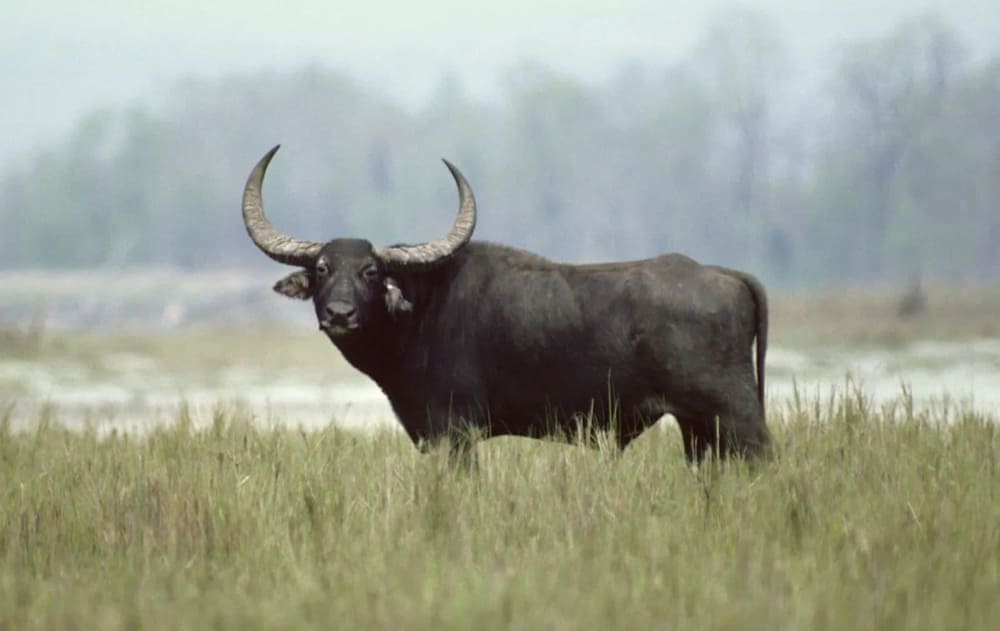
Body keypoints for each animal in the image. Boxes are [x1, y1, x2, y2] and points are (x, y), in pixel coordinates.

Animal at [241, 146, 771, 463]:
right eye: (322, 269)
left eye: (371, 271)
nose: (340, 314)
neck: (421, 310)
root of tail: (726, 275)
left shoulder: (453, 433)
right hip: (698, 429)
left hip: (736, 418)